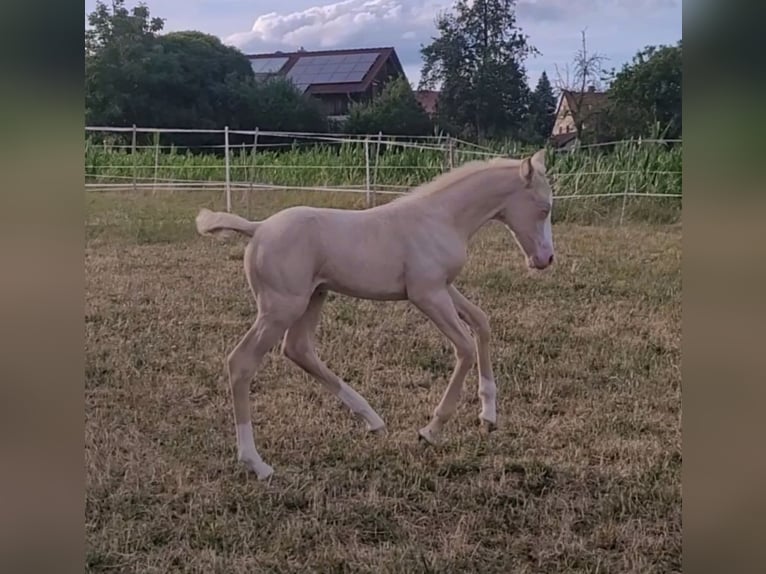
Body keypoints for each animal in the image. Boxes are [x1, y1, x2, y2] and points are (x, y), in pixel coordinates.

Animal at [195, 149, 554, 479]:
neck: (441, 217)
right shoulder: (427, 294)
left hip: (313, 297)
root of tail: (257, 229)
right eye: (544, 208)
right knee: (242, 362)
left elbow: (481, 322)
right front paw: (431, 430)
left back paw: (373, 420)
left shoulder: (443, 287)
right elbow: (464, 348)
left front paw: (489, 416)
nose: (546, 259)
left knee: (298, 349)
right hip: (280, 308)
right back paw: (257, 463)